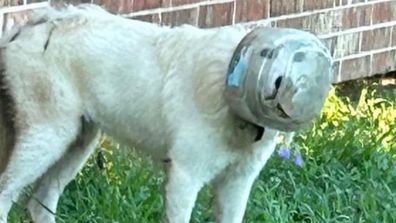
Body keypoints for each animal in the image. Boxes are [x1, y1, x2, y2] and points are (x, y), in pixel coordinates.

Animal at [0, 4, 332, 222]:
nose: (285, 93)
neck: (226, 84)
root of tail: (37, 23)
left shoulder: (237, 183)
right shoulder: (185, 177)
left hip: (78, 142)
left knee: (40, 201)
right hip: (49, 137)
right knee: (6, 193)